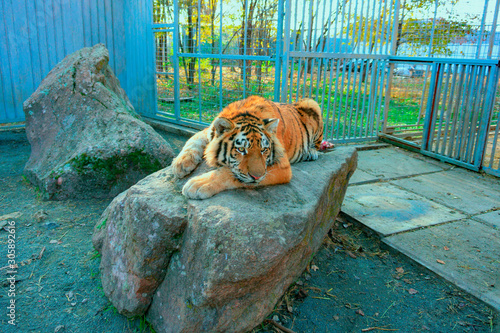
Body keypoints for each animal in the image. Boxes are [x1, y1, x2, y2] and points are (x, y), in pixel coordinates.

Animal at [172, 94, 324, 198]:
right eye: (241, 149)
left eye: (264, 150)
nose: (257, 177)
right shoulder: (208, 132)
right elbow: (193, 140)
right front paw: (180, 164)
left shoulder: (282, 166)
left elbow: (229, 173)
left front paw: (198, 184)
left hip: (312, 103)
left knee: (317, 145)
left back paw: (311, 153)